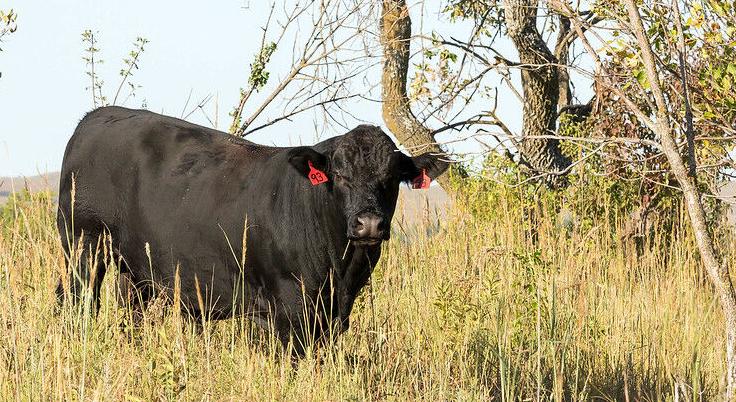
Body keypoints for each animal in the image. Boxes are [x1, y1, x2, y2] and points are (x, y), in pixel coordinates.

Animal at [56, 106, 448, 351]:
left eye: (392, 178)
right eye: (339, 175)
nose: (368, 224)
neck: (340, 266)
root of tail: (96, 117)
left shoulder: (336, 310)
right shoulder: (290, 307)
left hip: (136, 268)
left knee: (131, 312)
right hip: (83, 246)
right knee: (77, 302)